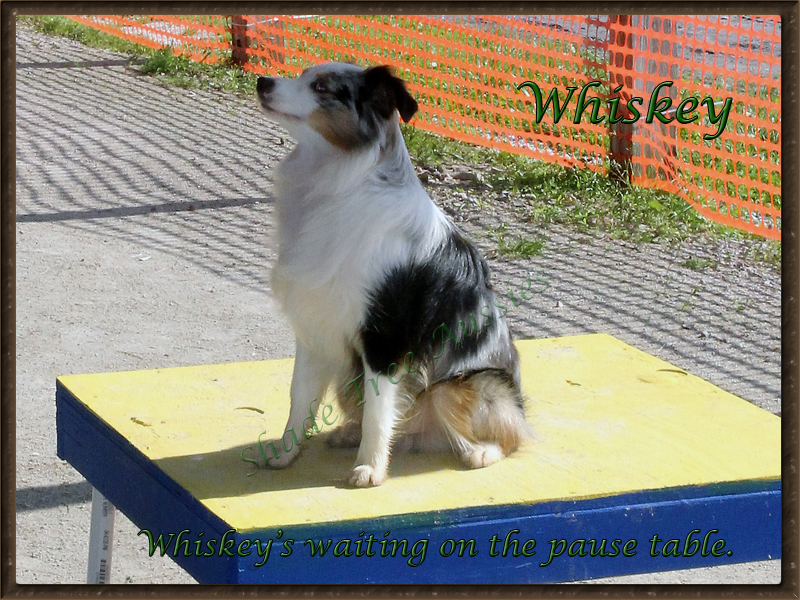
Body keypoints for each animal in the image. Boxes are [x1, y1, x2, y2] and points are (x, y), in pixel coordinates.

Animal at [258, 62, 532, 488]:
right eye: (303, 74)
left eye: (321, 87)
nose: (262, 81)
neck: (340, 178)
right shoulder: (314, 325)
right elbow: (299, 398)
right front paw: (286, 454)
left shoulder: (384, 337)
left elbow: (378, 412)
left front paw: (370, 469)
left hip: (455, 387)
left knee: (511, 432)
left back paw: (481, 452)